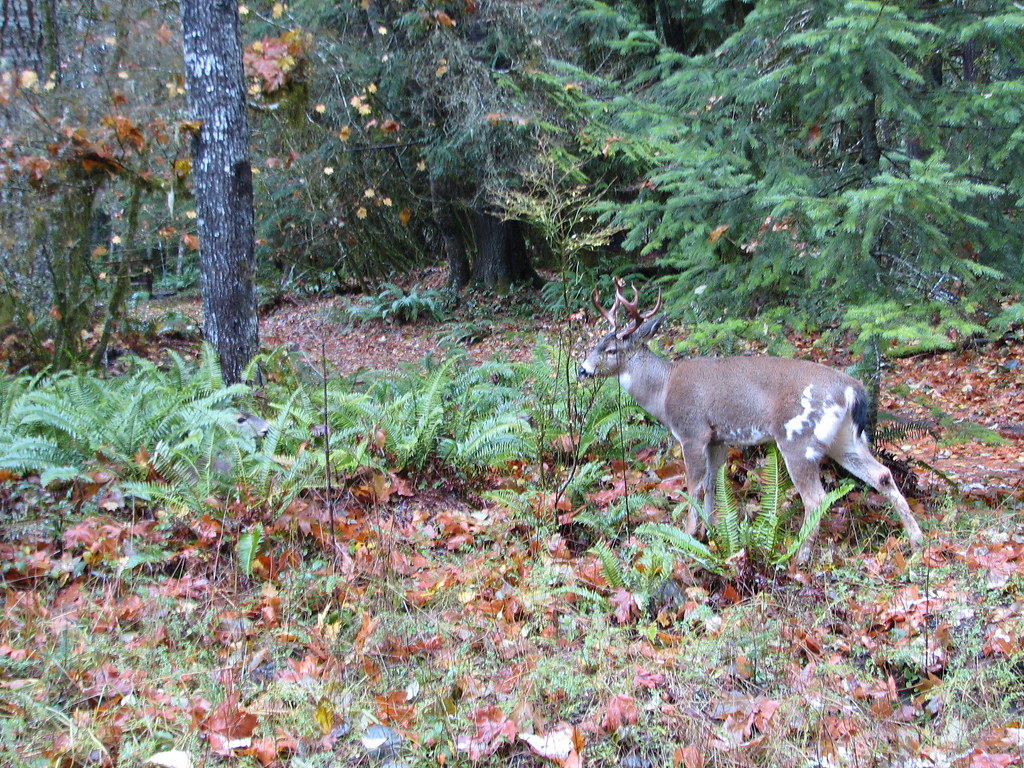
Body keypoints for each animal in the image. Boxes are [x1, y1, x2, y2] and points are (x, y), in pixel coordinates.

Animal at [578, 282, 924, 563]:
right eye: (595, 344)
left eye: (610, 349)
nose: (582, 369)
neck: (662, 391)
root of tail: (853, 390)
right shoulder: (718, 439)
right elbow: (713, 484)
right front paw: (711, 533)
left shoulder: (692, 431)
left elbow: (694, 485)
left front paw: (688, 536)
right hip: (845, 439)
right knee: (882, 475)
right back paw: (916, 541)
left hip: (798, 437)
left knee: (816, 497)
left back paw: (799, 556)